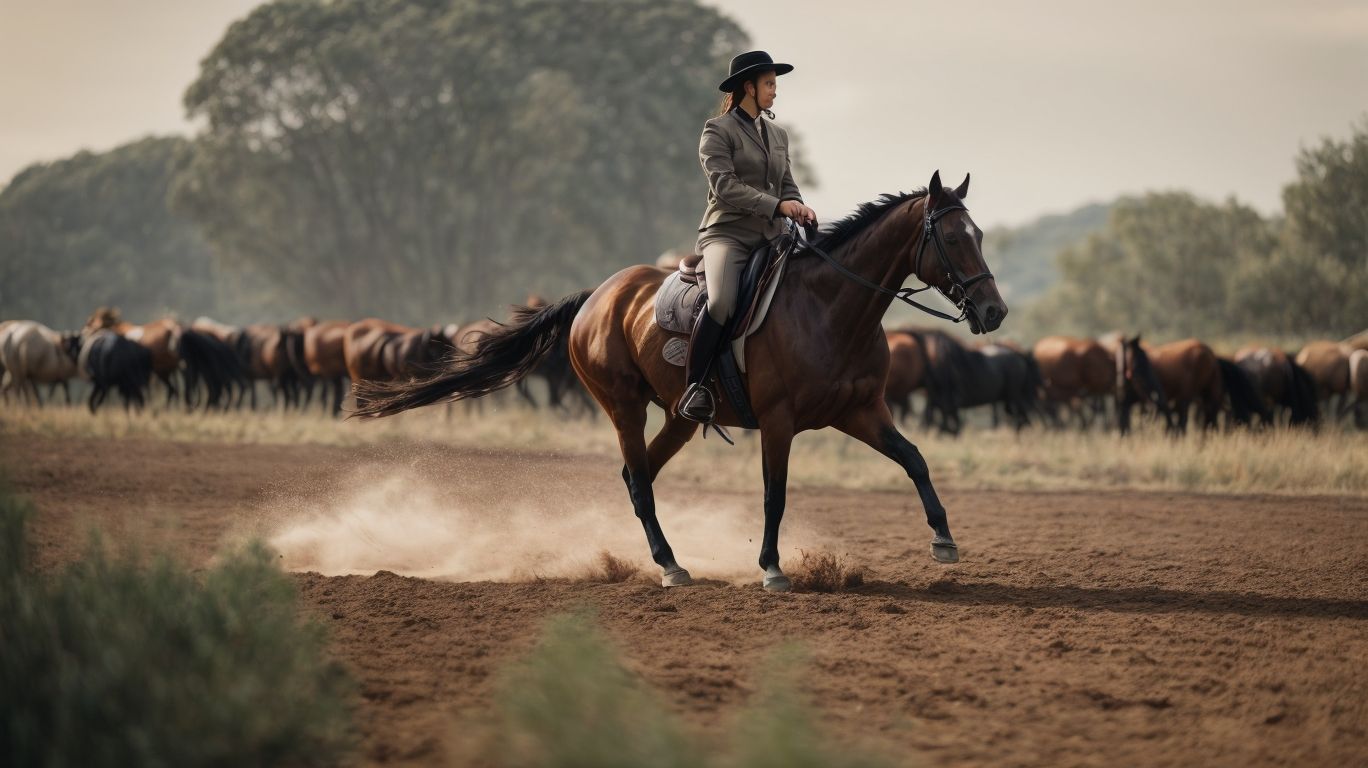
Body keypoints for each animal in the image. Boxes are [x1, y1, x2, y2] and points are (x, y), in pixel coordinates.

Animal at [354, 171, 1007, 590]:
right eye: (953, 238)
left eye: (979, 236)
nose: (995, 312)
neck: (830, 306)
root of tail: (596, 297)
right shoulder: (779, 423)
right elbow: (775, 494)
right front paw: (772, 568)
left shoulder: (862, 412)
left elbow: (915, 459)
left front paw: (944, 542)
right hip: (623, 406)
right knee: (640, 481)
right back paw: (669, 566)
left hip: (676, 416)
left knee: (637, 475)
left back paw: (669, 560)